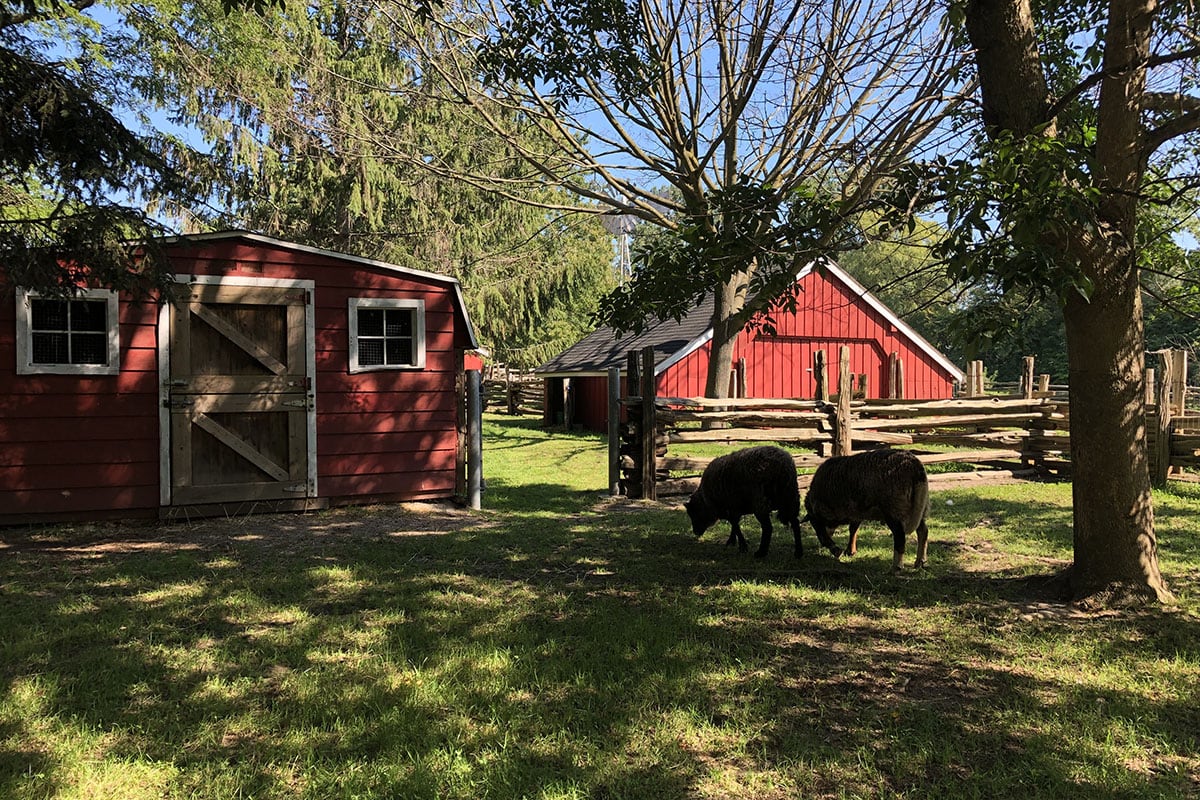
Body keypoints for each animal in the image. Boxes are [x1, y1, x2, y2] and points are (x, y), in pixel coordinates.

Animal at [686, 448, 844, 561]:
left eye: (694, 514)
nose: (696, 533)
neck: (706, 499)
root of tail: (783, 467)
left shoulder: (730, 508)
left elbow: (735, 525)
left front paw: (742, 546)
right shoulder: (734, 508)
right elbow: (734, 526)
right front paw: (732, 541)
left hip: (761, 503)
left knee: (768, 528)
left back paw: (761, 552)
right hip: (790, 498)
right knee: (795, 524)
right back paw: (798, 552)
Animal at [801, 450, 931, 568]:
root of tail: (916, 468)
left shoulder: (820, 513)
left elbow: (823, 533)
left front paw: (836, 550)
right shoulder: (856, 511)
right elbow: (853, 529)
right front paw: (850, 551)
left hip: (895, 509)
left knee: (900, 537)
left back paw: (896, 568)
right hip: (919, 508)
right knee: (923, 531)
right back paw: (920, 562)